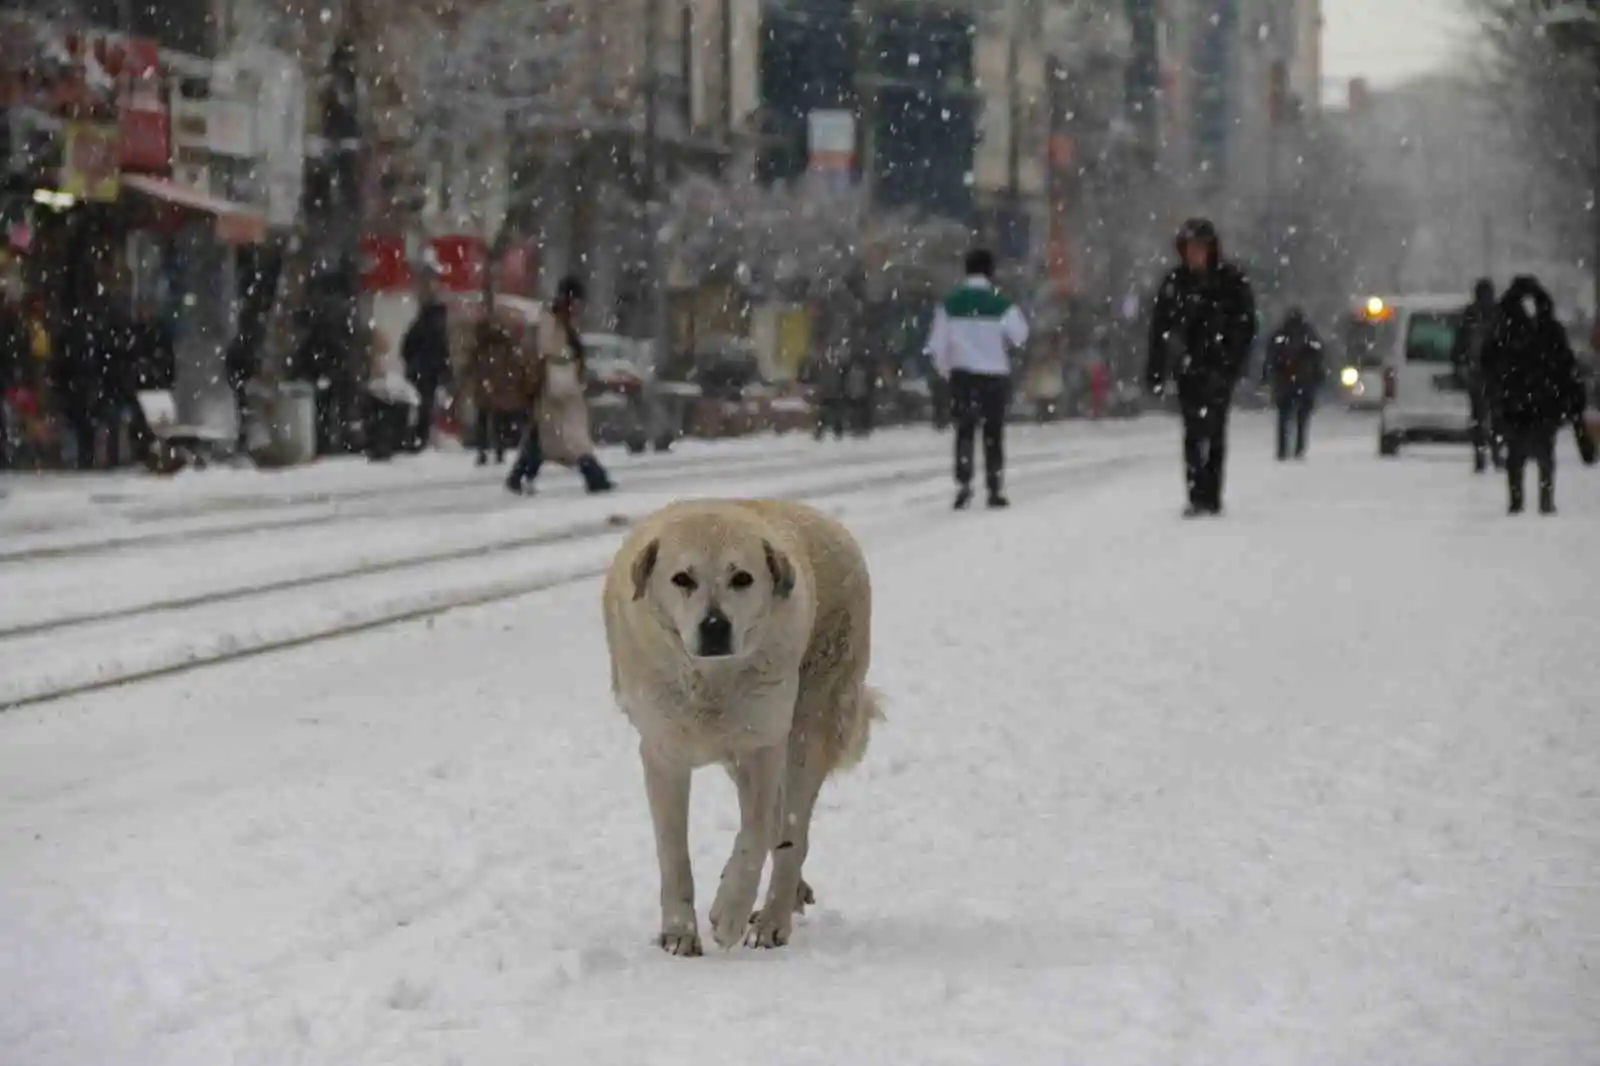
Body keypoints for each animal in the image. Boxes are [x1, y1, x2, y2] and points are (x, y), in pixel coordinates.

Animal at [601, 499, 883, 953]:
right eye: (682, 578)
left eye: (742, 578)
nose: (715, 626)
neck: (711, 681)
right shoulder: (663, 753)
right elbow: (673, 851)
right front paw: (679, 934)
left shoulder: (763, 745)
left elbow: (757, 833)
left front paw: (729, 914)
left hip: (810, 724)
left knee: (791, 831)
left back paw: (772, 922)